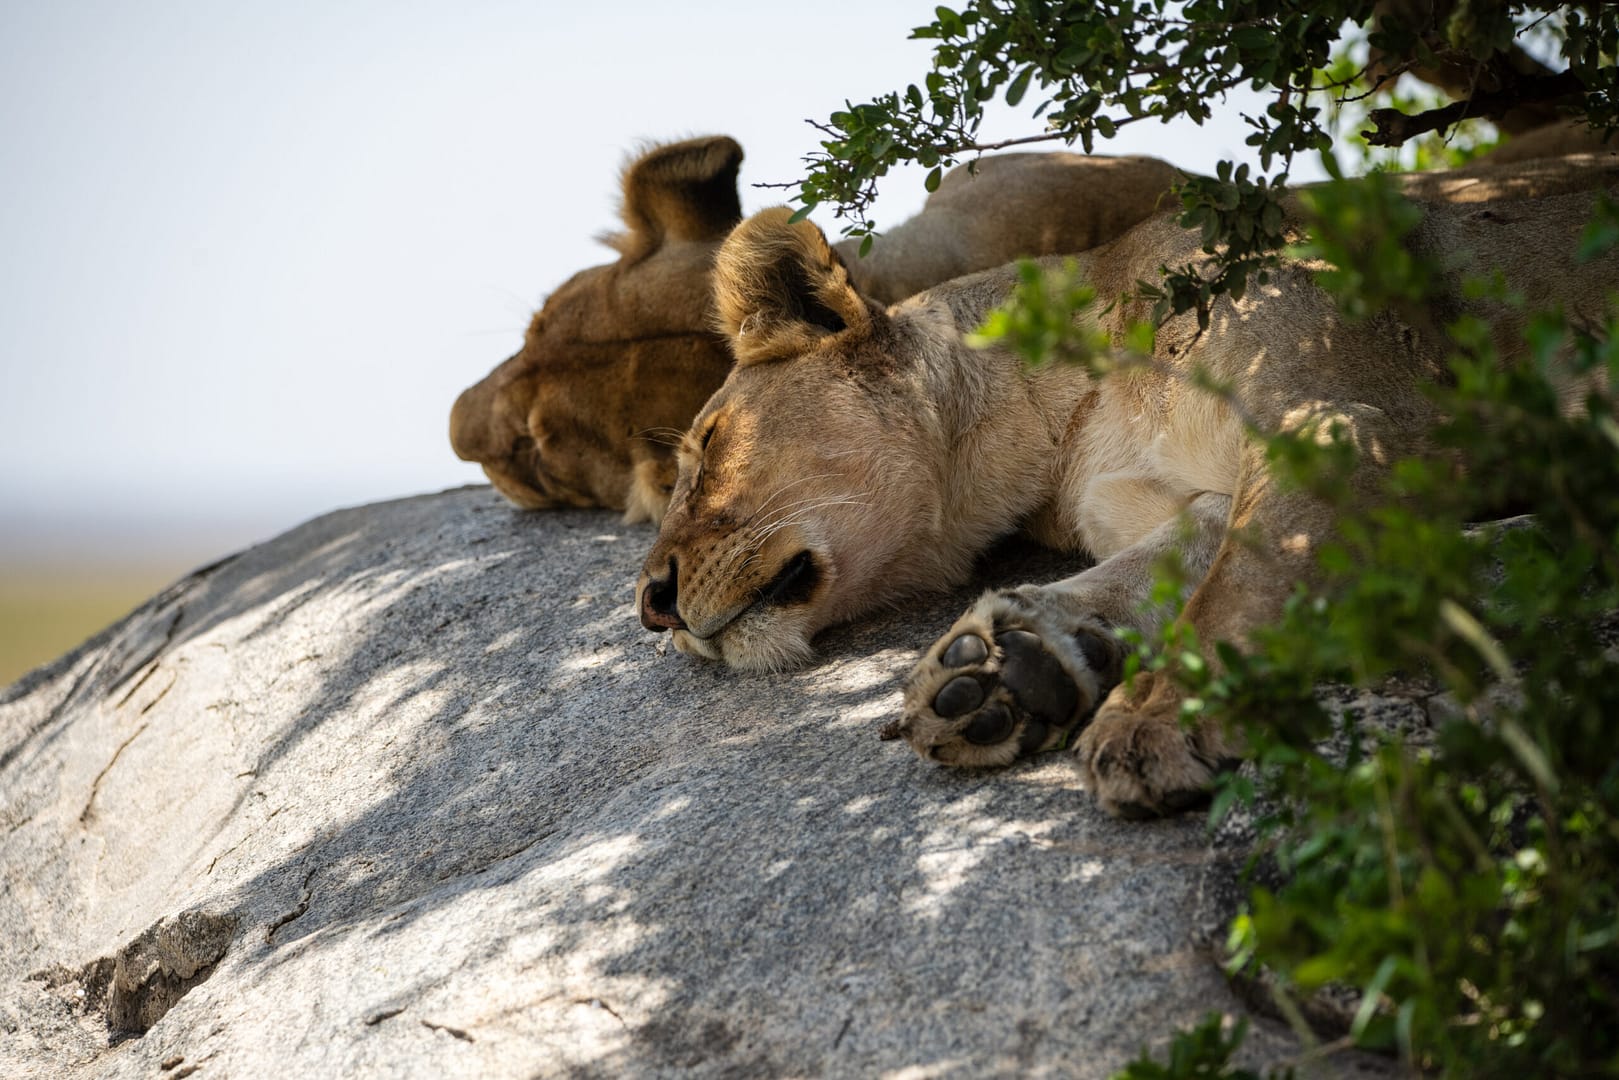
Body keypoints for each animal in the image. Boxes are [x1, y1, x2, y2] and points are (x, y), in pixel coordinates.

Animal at [633, 160, 1619, 818]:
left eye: (709, 445)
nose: (650, 605)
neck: (1063, 423)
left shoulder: (1333, 424)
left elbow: (1236, 589)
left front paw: (1154, 717)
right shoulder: (1182, 499)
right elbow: (1168, 566)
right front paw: (1014, 668)